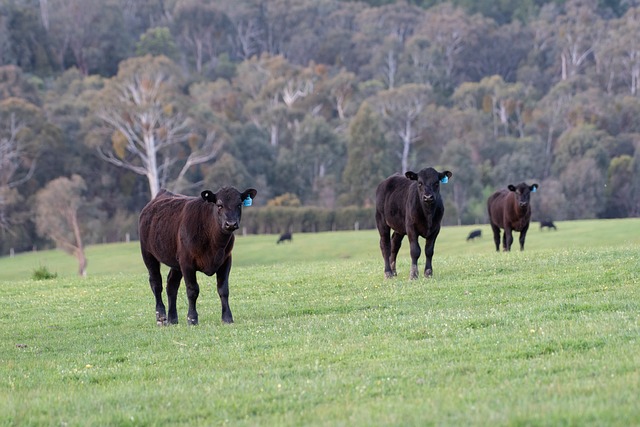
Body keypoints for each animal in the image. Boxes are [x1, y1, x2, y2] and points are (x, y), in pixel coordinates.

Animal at [140, 186, 258, 326]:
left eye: (239, 204)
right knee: (156, 283)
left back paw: (173, 319)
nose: (231, 224)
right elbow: (192, 290)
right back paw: (161, 317)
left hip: (176, 263)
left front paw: (227, 317)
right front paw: (192, 319)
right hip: (148, 254)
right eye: (219, 205)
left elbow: (223, 289)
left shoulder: (226, 260)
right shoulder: (187, 263)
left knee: (171, 285)